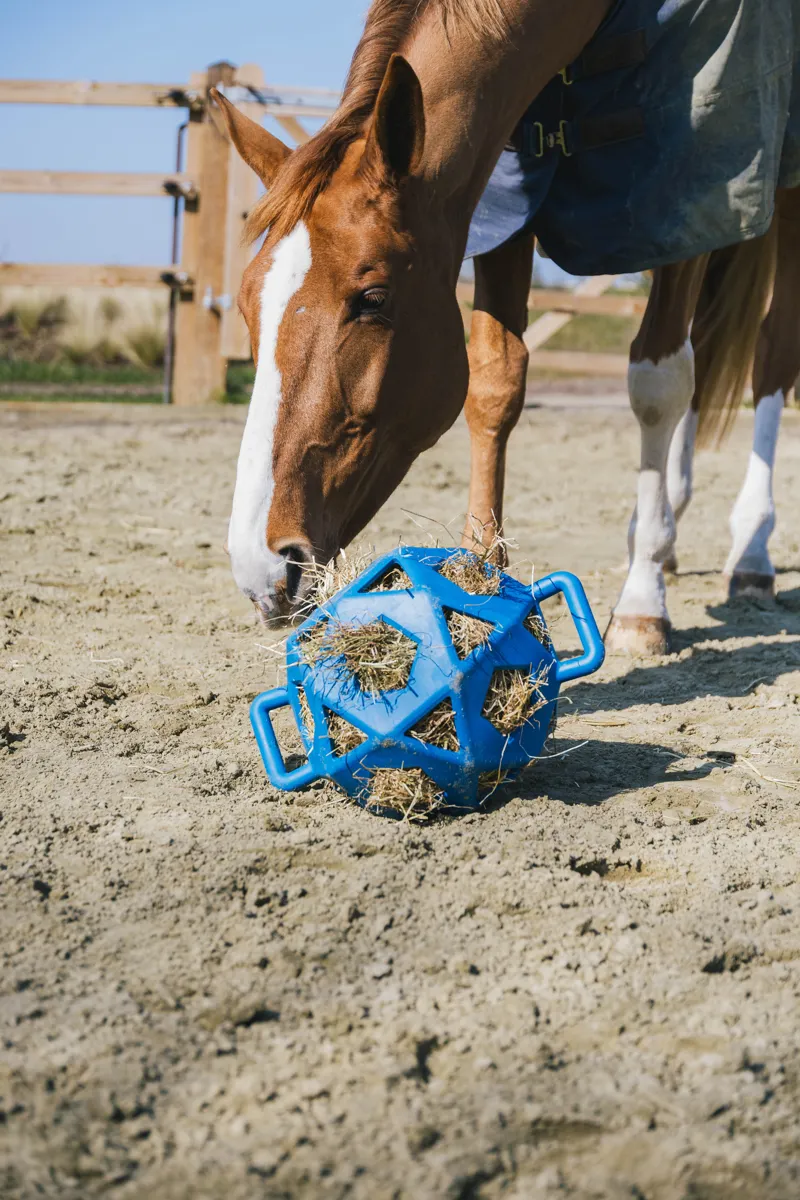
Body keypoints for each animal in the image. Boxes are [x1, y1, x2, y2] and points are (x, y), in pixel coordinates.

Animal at [212, 0, 798, 656]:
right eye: (246, 306)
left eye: (373, 298)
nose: (263, 569)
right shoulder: (506, 192)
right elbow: (494, 383)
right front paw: (478, 585)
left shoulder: (680, 193)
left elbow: (657, 385)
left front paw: (643, 601)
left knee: (773, 352)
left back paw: (750, 552)